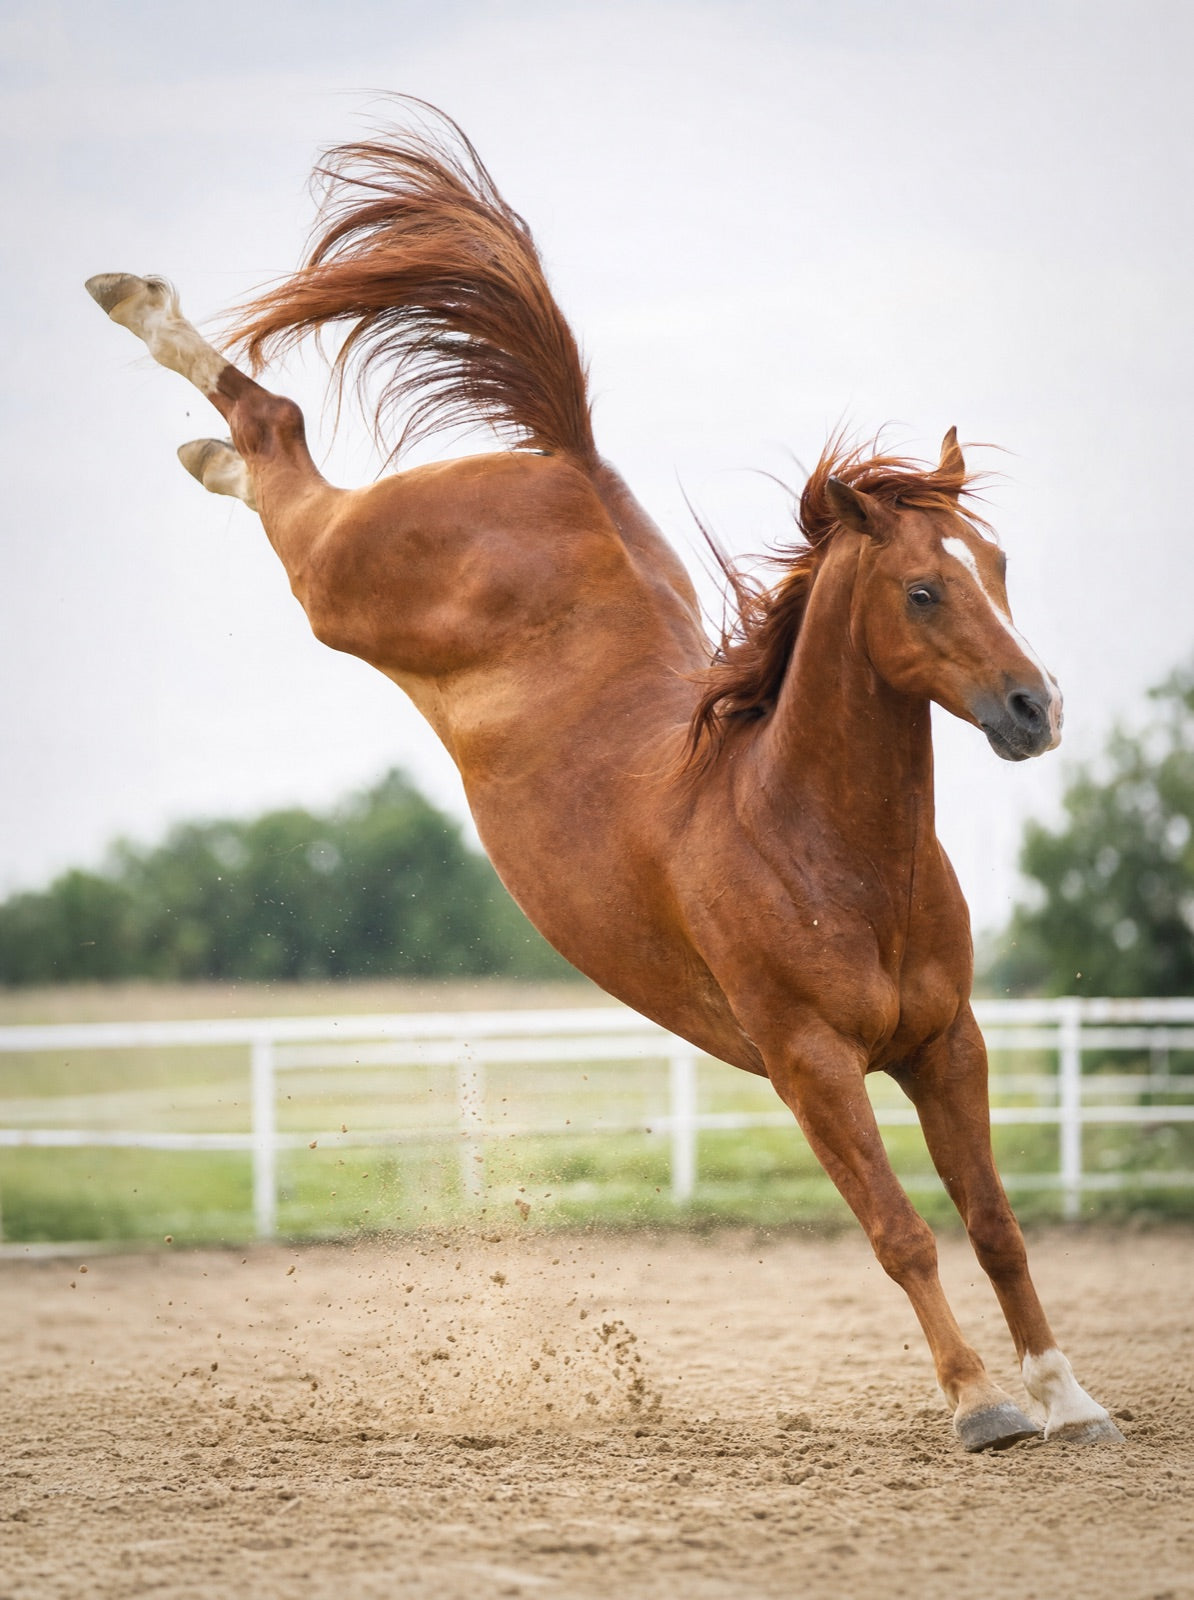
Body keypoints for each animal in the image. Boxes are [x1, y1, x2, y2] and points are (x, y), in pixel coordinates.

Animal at [86, 102, 1121, 1452]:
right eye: (922, 589)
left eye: (995, 564)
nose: (1034, 708)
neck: (822, 843)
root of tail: (564, 459)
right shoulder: (811, 1065)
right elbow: (901, 1233)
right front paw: (984, 1403)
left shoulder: (948, 1042)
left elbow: (994, 1220)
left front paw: (1067, 1395)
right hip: (340, 581)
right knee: (279, 442)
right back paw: (142, 312)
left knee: (270, 448)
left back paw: (186, 424)